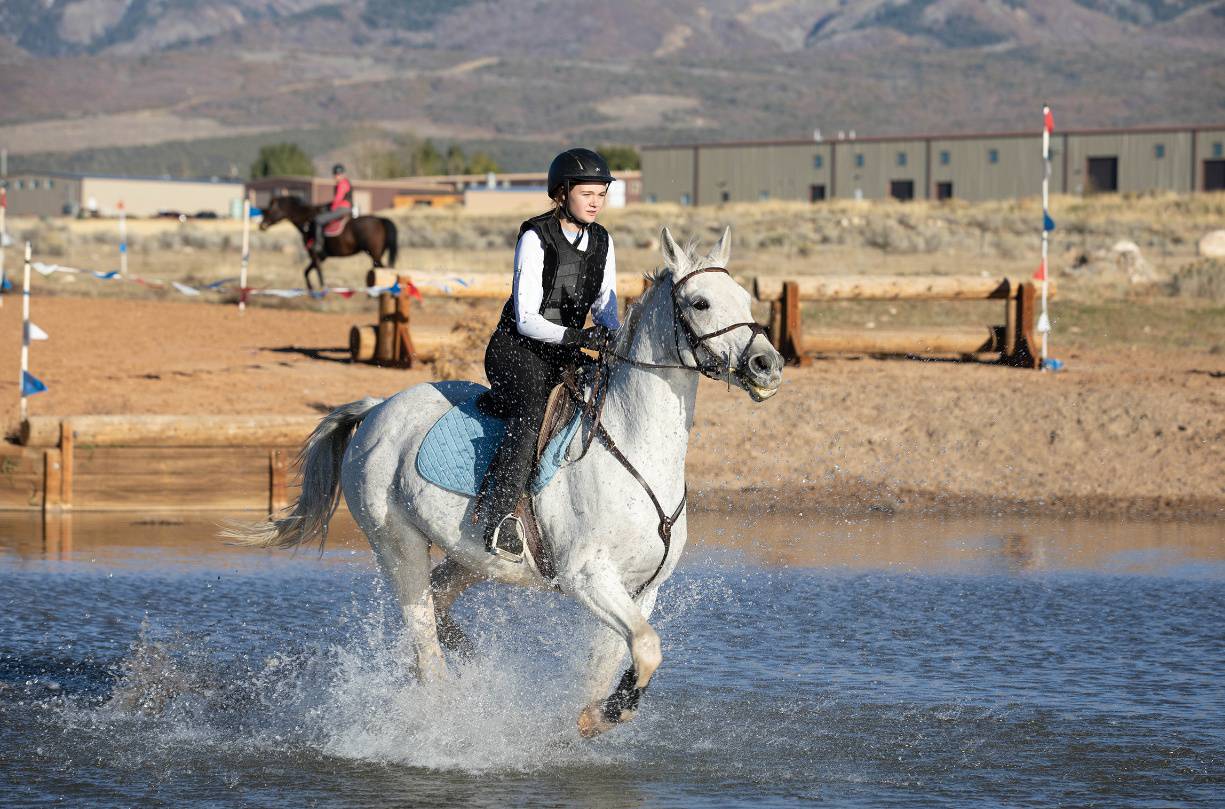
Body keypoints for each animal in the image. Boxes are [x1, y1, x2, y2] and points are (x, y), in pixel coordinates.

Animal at [230, 227, 784, 740]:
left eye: (747, 299)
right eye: (700, 302)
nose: (768, 366)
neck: (636, 447)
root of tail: (375, 409)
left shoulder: (642, 588)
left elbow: (616, 659)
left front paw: (592, 715)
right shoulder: (589, 578)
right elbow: (647, 647)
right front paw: (604, 715)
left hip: (472, 555)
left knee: (440, 603)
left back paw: (476, 669)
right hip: (397, 545)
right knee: (425, 642)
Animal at [260, 194, 399, 290]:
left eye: (271, 209)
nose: (262, 225)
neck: (308, 222)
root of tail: (380, 220)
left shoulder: (315, 255)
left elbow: (318, 273)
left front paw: (321, 290)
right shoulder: (321, 257)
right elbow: (306, 272)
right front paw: (311, 289)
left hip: (375, 255)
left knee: (383, 271)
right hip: (375, 255)